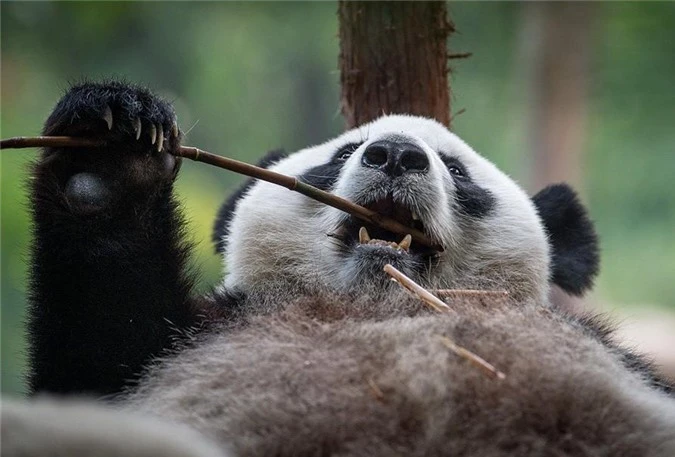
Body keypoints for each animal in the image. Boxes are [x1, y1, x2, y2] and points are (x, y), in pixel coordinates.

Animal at [3, 82, 675, 456]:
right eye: (344, 153)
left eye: (457, 171)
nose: (396, 154)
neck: (381, 307)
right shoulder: (193, 340)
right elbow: (95, 352)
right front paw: (111, 150)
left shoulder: (610, 358)